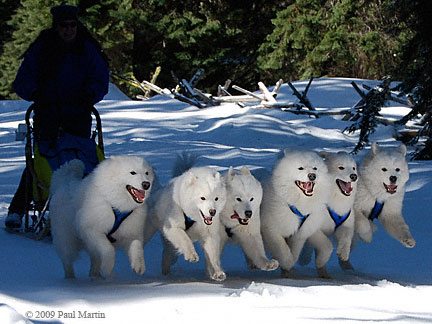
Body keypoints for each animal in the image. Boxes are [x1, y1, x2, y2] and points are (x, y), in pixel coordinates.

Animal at [260, 148, 330, 278]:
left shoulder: (300, 233)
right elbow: (284, 252)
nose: (312, 176)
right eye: (300, 168)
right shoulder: (271, 231)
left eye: (315, 168)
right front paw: (287, 264)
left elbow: (295, 253)